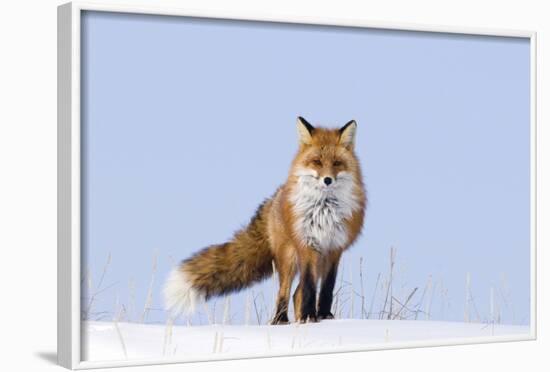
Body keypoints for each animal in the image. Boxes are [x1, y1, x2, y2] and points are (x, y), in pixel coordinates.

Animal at [166, 117, 368, 322]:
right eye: (317, 162)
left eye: (337, 163)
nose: (327, 180)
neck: (324, 210)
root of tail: (274, 198)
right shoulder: (307, 245)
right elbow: (310, 287)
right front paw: (309, 316)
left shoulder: (334, 248)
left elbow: (327, 288)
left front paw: (324, 316)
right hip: (289, 257)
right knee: (286, 292)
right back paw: (280, 321)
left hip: (316, 259)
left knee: (296, 293)